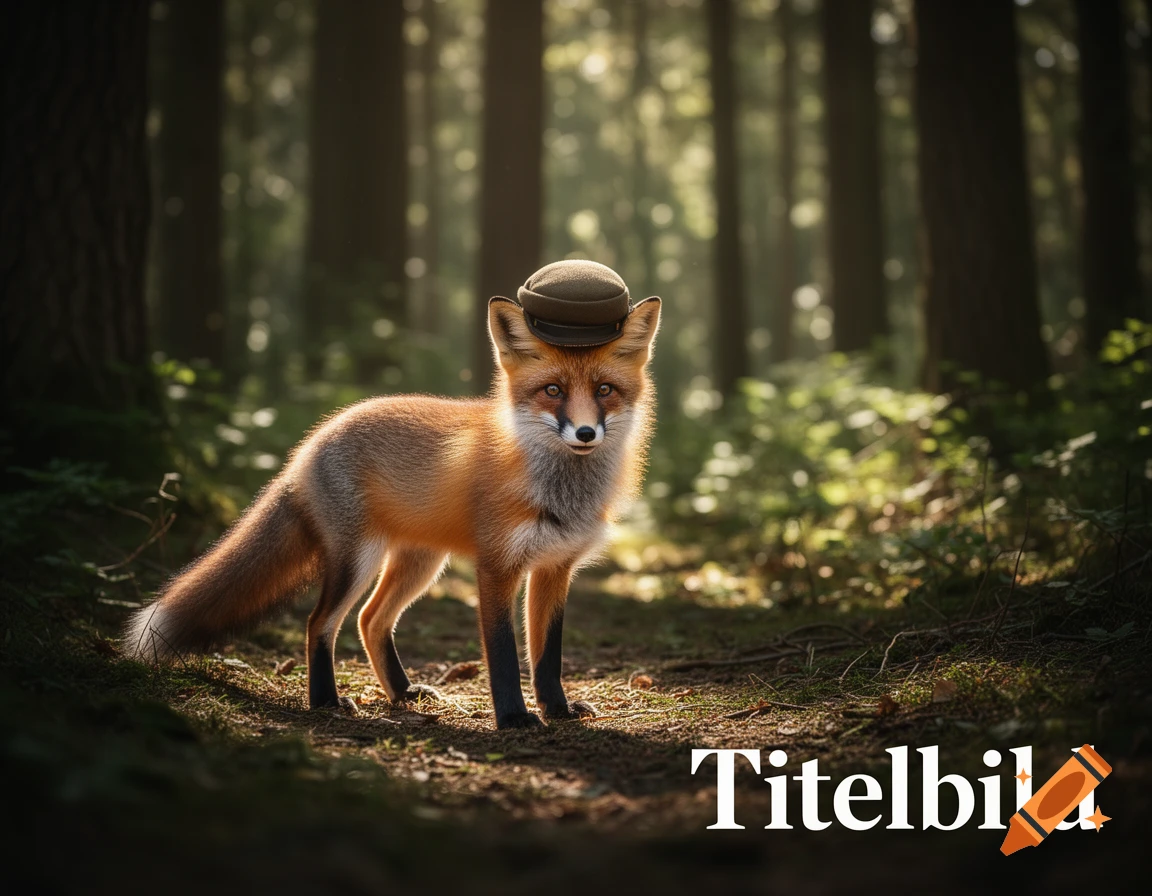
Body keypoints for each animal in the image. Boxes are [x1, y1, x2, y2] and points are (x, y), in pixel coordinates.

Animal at [125, 295, 660, 729]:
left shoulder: (555, 567)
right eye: (552, 390)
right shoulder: (497, 567)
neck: (559, 490)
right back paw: (326, 702)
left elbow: (547, 656)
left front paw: (557, 710)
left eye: (605, 390)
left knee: (370, 620)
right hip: (357, 560)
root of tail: (313, 440)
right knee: (320, 623)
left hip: (421, 564)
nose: (586, 433)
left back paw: (402, 693)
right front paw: (513, 718)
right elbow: (505, 655)